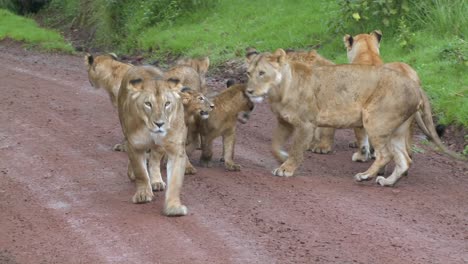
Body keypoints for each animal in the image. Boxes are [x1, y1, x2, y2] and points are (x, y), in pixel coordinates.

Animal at [117, 65, 188, 216]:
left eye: (167, 103)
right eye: (148, 104)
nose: (159, 124)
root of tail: (140, 66)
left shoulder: (176, 150)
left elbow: (175, 182)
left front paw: (173, 208)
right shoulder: (134, 145)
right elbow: (141, 172)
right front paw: (143, 194)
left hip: (159, 147)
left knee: (155, 160)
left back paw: (156, 181)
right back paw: (132, 174)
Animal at [247, 48, 458, 187]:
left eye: (262, 73)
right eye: (248, 73)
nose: (248, 91)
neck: (278, 91)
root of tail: (415, 85)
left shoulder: (306, 124)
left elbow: (298, 148)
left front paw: (286, 169)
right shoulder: (284, 122)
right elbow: (274, 145)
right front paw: (282, 157)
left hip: (375, 121)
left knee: (385, 154)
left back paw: (365, 176)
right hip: (397, 130)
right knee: (404, 159)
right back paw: (387, 181)